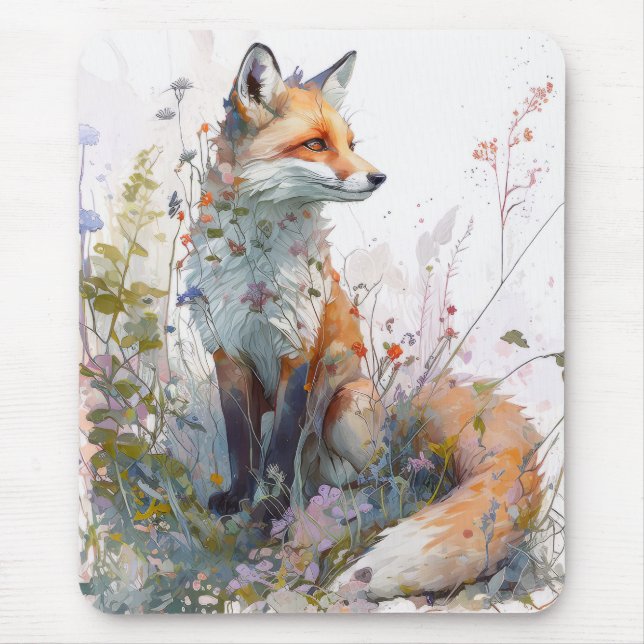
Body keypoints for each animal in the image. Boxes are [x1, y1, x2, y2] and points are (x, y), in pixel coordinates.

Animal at [185, 43, 544, 600]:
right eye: (315, 144)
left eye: (350, 144)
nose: (378, 177)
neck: (256, 276)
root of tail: (400, 422)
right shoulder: (229, 354)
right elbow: (241, 443)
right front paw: (239, 501)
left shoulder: (298, 353)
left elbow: (278, 450)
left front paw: (270, 514)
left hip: (347, 405)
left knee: (389, 476)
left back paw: (350, 500)